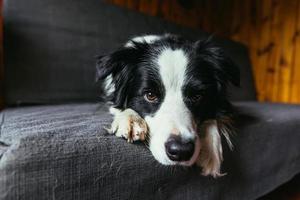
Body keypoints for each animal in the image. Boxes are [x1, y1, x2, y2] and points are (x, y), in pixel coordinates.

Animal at [96, 33, 239, 177]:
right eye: (150, 95)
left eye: (197, 96)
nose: (181, 151)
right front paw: (131, 120)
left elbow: (212, 118)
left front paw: (210, 151)